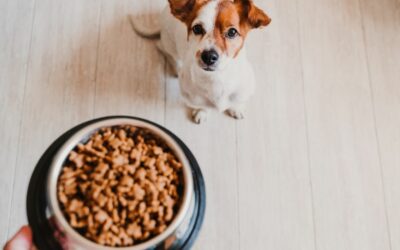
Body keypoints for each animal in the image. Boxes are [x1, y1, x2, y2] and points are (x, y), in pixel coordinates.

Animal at [131, 0, 272, 123]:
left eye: (232, 32)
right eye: (197, 28)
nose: (208, 56)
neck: (216, 78)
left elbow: (236, 102)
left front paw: (236, 108)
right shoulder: (193, 98)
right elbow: (202, 106)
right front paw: (202, 112)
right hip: (169, 44)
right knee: (163, 49)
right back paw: (176, 67)